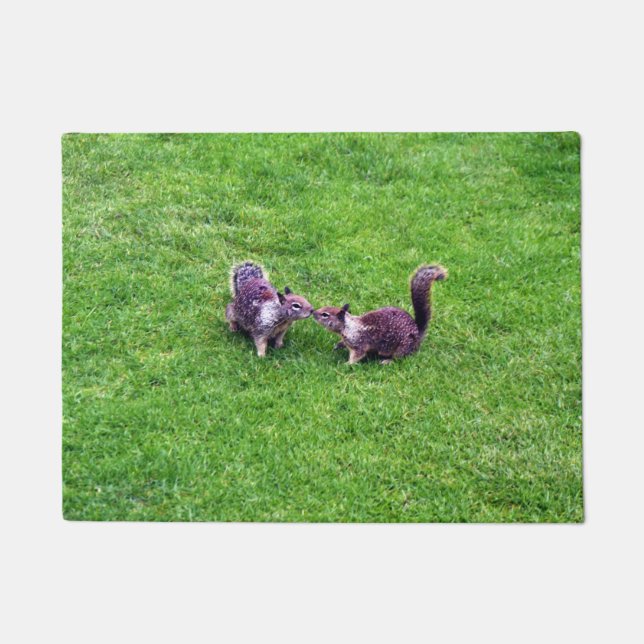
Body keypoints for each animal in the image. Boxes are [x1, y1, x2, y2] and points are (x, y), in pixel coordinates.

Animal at [312, 265, 447, 364]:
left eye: (325, 314)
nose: (313, 312)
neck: (348, 326)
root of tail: (418, 336)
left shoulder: (359, 343)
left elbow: (357, 355)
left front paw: (346, 364)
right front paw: (338, 345)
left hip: (402, 347)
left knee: (399, 358)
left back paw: (387, 361)